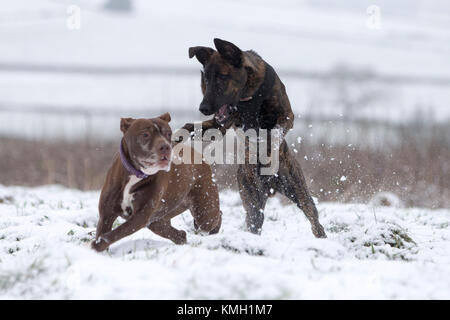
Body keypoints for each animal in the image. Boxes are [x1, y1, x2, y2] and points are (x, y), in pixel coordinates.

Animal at [92, 113, 223, 252]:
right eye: (145, 134)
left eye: (168, 133)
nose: (165, 146)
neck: (136, 173)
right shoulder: (107, 214)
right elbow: (104, 232)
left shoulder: (140, 217)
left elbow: (115, 233)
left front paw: (96, 246)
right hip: (160, 217)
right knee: (177, 233)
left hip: (205, 210)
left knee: (215, 216)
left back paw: (214, 231)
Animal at [183, 38, 326, 238]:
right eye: (206, 78)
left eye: (222, 77)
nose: (203, 107)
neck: (247, 96)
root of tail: (271, 186)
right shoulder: (222, 123)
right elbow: (203, 126)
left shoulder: (286, 115)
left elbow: (275, 132)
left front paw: (265, 146)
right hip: (252, 198)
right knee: (254, 221)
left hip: (298, 190)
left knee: (314, 219)